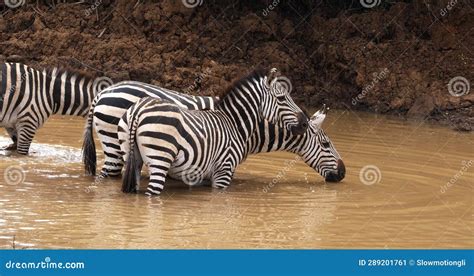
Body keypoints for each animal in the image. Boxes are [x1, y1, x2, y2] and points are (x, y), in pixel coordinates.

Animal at [118, 68, 310, 194]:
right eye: (282, 98)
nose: (304, 123)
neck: (234, 123)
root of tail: (139, 109)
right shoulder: (224, 170)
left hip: (131, 156)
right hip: (160, 158)